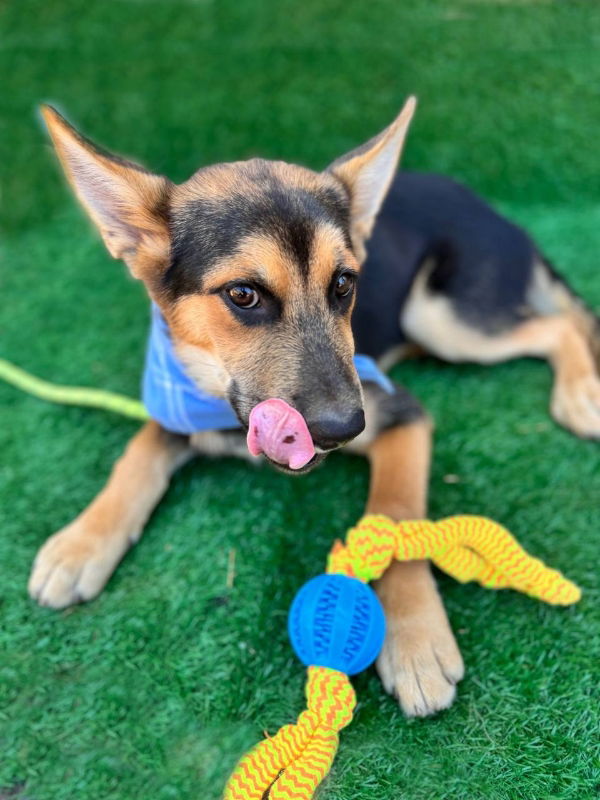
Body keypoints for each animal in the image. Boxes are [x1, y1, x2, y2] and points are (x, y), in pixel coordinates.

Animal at [29, 98, 600, 720]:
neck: (226, 408)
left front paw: (416, 637)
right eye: (244, 295)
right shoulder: (178, 406)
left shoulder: (400, 412)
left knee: (559, 324)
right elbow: (135, 456)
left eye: (345, 283)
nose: (344, 429)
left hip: (441, 317)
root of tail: (491, 209)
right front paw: (80, 544)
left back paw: (581, 393)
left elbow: (394, 513)